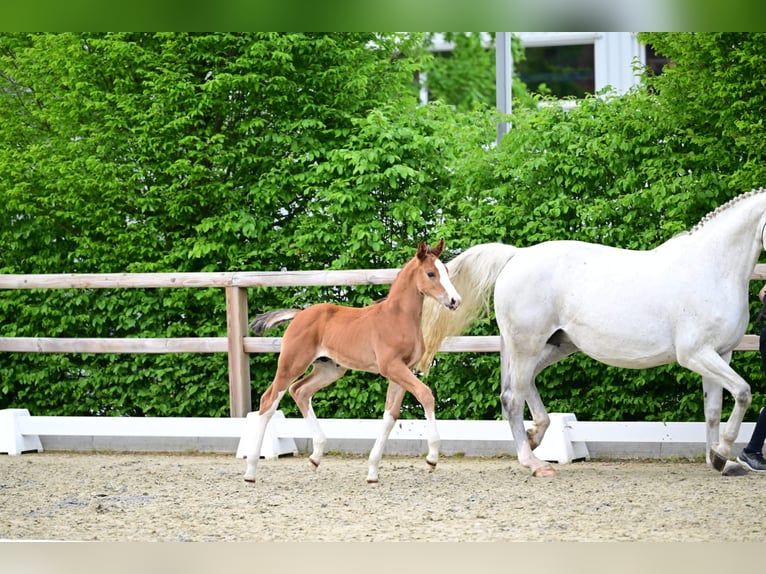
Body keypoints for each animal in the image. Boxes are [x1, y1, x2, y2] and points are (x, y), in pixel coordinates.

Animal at [243, 239, 462, 484]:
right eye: (431, 273)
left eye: (447, 272)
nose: (455, 301)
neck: (397, 318)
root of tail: (299, 314)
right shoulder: (391, 367)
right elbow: (425, 394)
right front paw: (432, 458)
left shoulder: (403, 370)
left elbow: (391, 415)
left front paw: (373, 471)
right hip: (292, 363)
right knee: (268, 400)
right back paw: (251, 470)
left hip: (329, 369)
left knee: (300, 391)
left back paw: (315, 457)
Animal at [418, 189, 766, 477]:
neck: (711, 270)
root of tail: (517, 255)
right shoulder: (696, 354)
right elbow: (744, 392)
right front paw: (722, 453)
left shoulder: (720, 353)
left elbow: (713, 410)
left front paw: (719, 460)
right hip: (527, 344)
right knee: (511, 398)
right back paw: (532, 462)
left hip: (556, 345)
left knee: (525, 385)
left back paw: (535, 436)